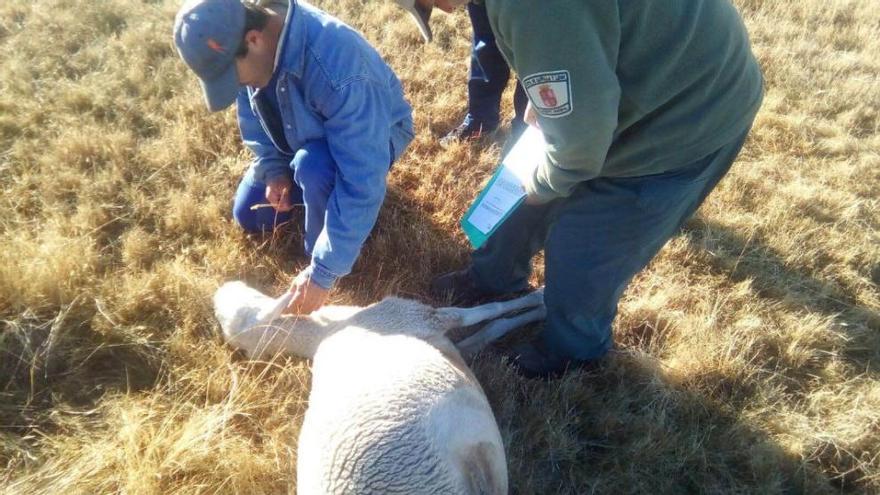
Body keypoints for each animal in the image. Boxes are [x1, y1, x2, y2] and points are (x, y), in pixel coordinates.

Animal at [213, 280, 544, 494]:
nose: (221, 290)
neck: (321, 333)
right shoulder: (414, 316)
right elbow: (486, 311)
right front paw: (541, 299)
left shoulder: (447, 343)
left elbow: (488, 331)